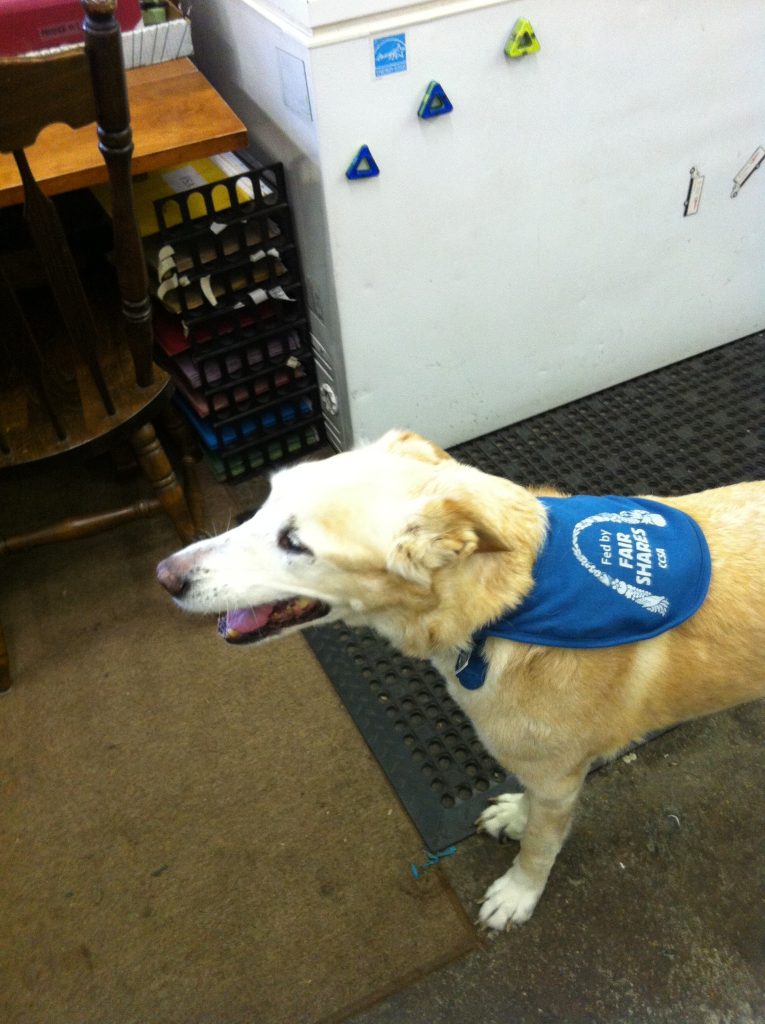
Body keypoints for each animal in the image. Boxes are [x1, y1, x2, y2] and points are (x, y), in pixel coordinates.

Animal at [157, 430, 765, 929]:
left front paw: (518, 894)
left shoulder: (560, 779)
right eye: (266, 501)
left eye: (296, 544)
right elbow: (528, 804)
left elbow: (540, 847)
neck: (509, 609)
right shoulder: (544, 771)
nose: (164, 576)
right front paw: (514, 814)